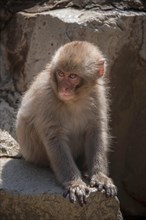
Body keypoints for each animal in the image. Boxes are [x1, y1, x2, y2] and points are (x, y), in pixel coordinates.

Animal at [16, 40, 116, 206]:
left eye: (72, 76)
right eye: (61, 74)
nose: (63, 88)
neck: (74, 101)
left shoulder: (97, 96)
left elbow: (95, 133)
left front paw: (100, 177)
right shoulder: (47, 97)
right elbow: (54, 138)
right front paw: (75, 184)